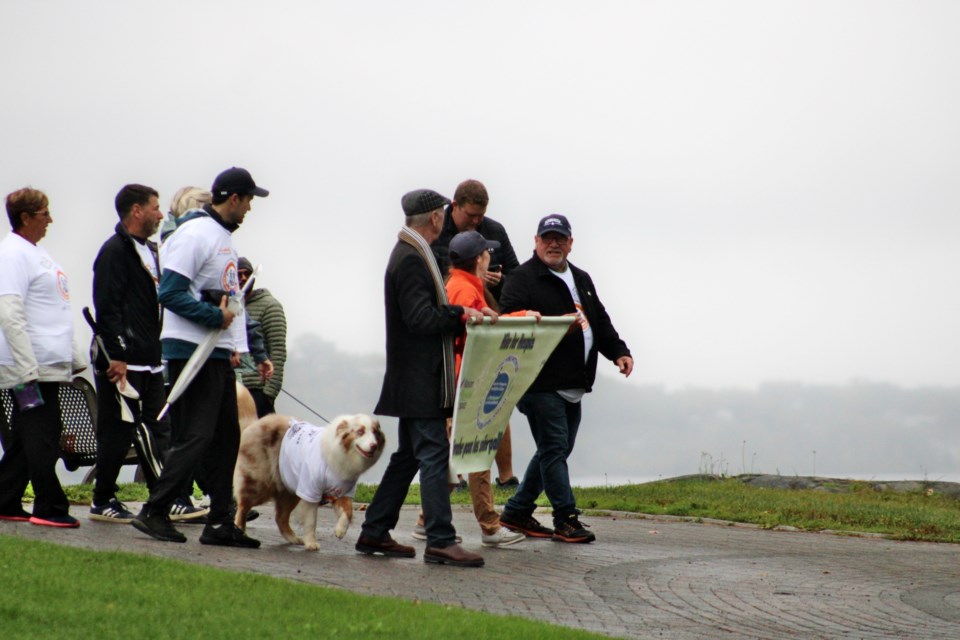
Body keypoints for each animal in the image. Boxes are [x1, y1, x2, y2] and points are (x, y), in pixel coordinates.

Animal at [232, 416, 382, 552]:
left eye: (375, 432)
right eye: (360, 432)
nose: (374, 445)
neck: (341, 454)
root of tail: (256, 423)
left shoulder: (343, 491)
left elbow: (348, 513)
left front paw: (340, 530)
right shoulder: (310, 490)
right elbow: (311, 520)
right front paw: (311, 543)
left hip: (289, 489)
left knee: (280, 517)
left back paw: (293, 538)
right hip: (261, 484)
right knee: (243, 507)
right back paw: (241, 531)